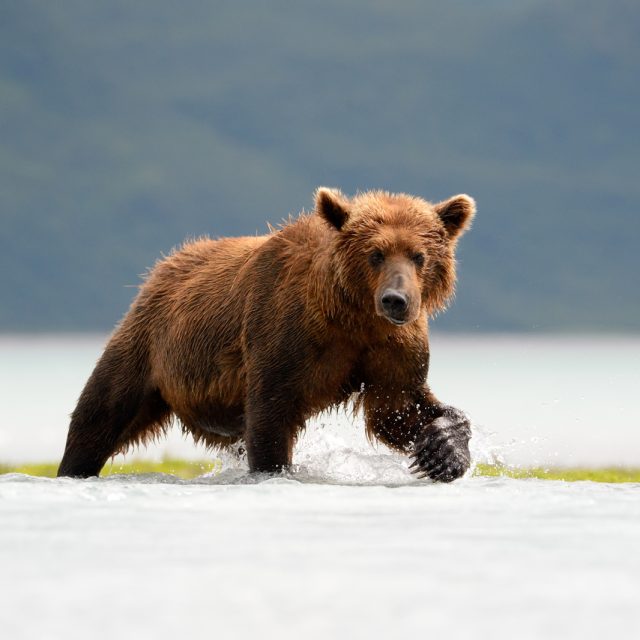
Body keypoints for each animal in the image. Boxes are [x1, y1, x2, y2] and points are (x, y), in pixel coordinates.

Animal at [57, 187, 476, 482]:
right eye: (375, 254)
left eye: (419, 255)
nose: (396, 300)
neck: (351, 317)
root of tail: (166, 264)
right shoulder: (284, 333)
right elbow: (271, 414)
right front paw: (275, 468)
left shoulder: (390, 349)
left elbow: (397, 409)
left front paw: (442, 451)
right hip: (149, 342)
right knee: (100, 412)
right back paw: (74, 466)